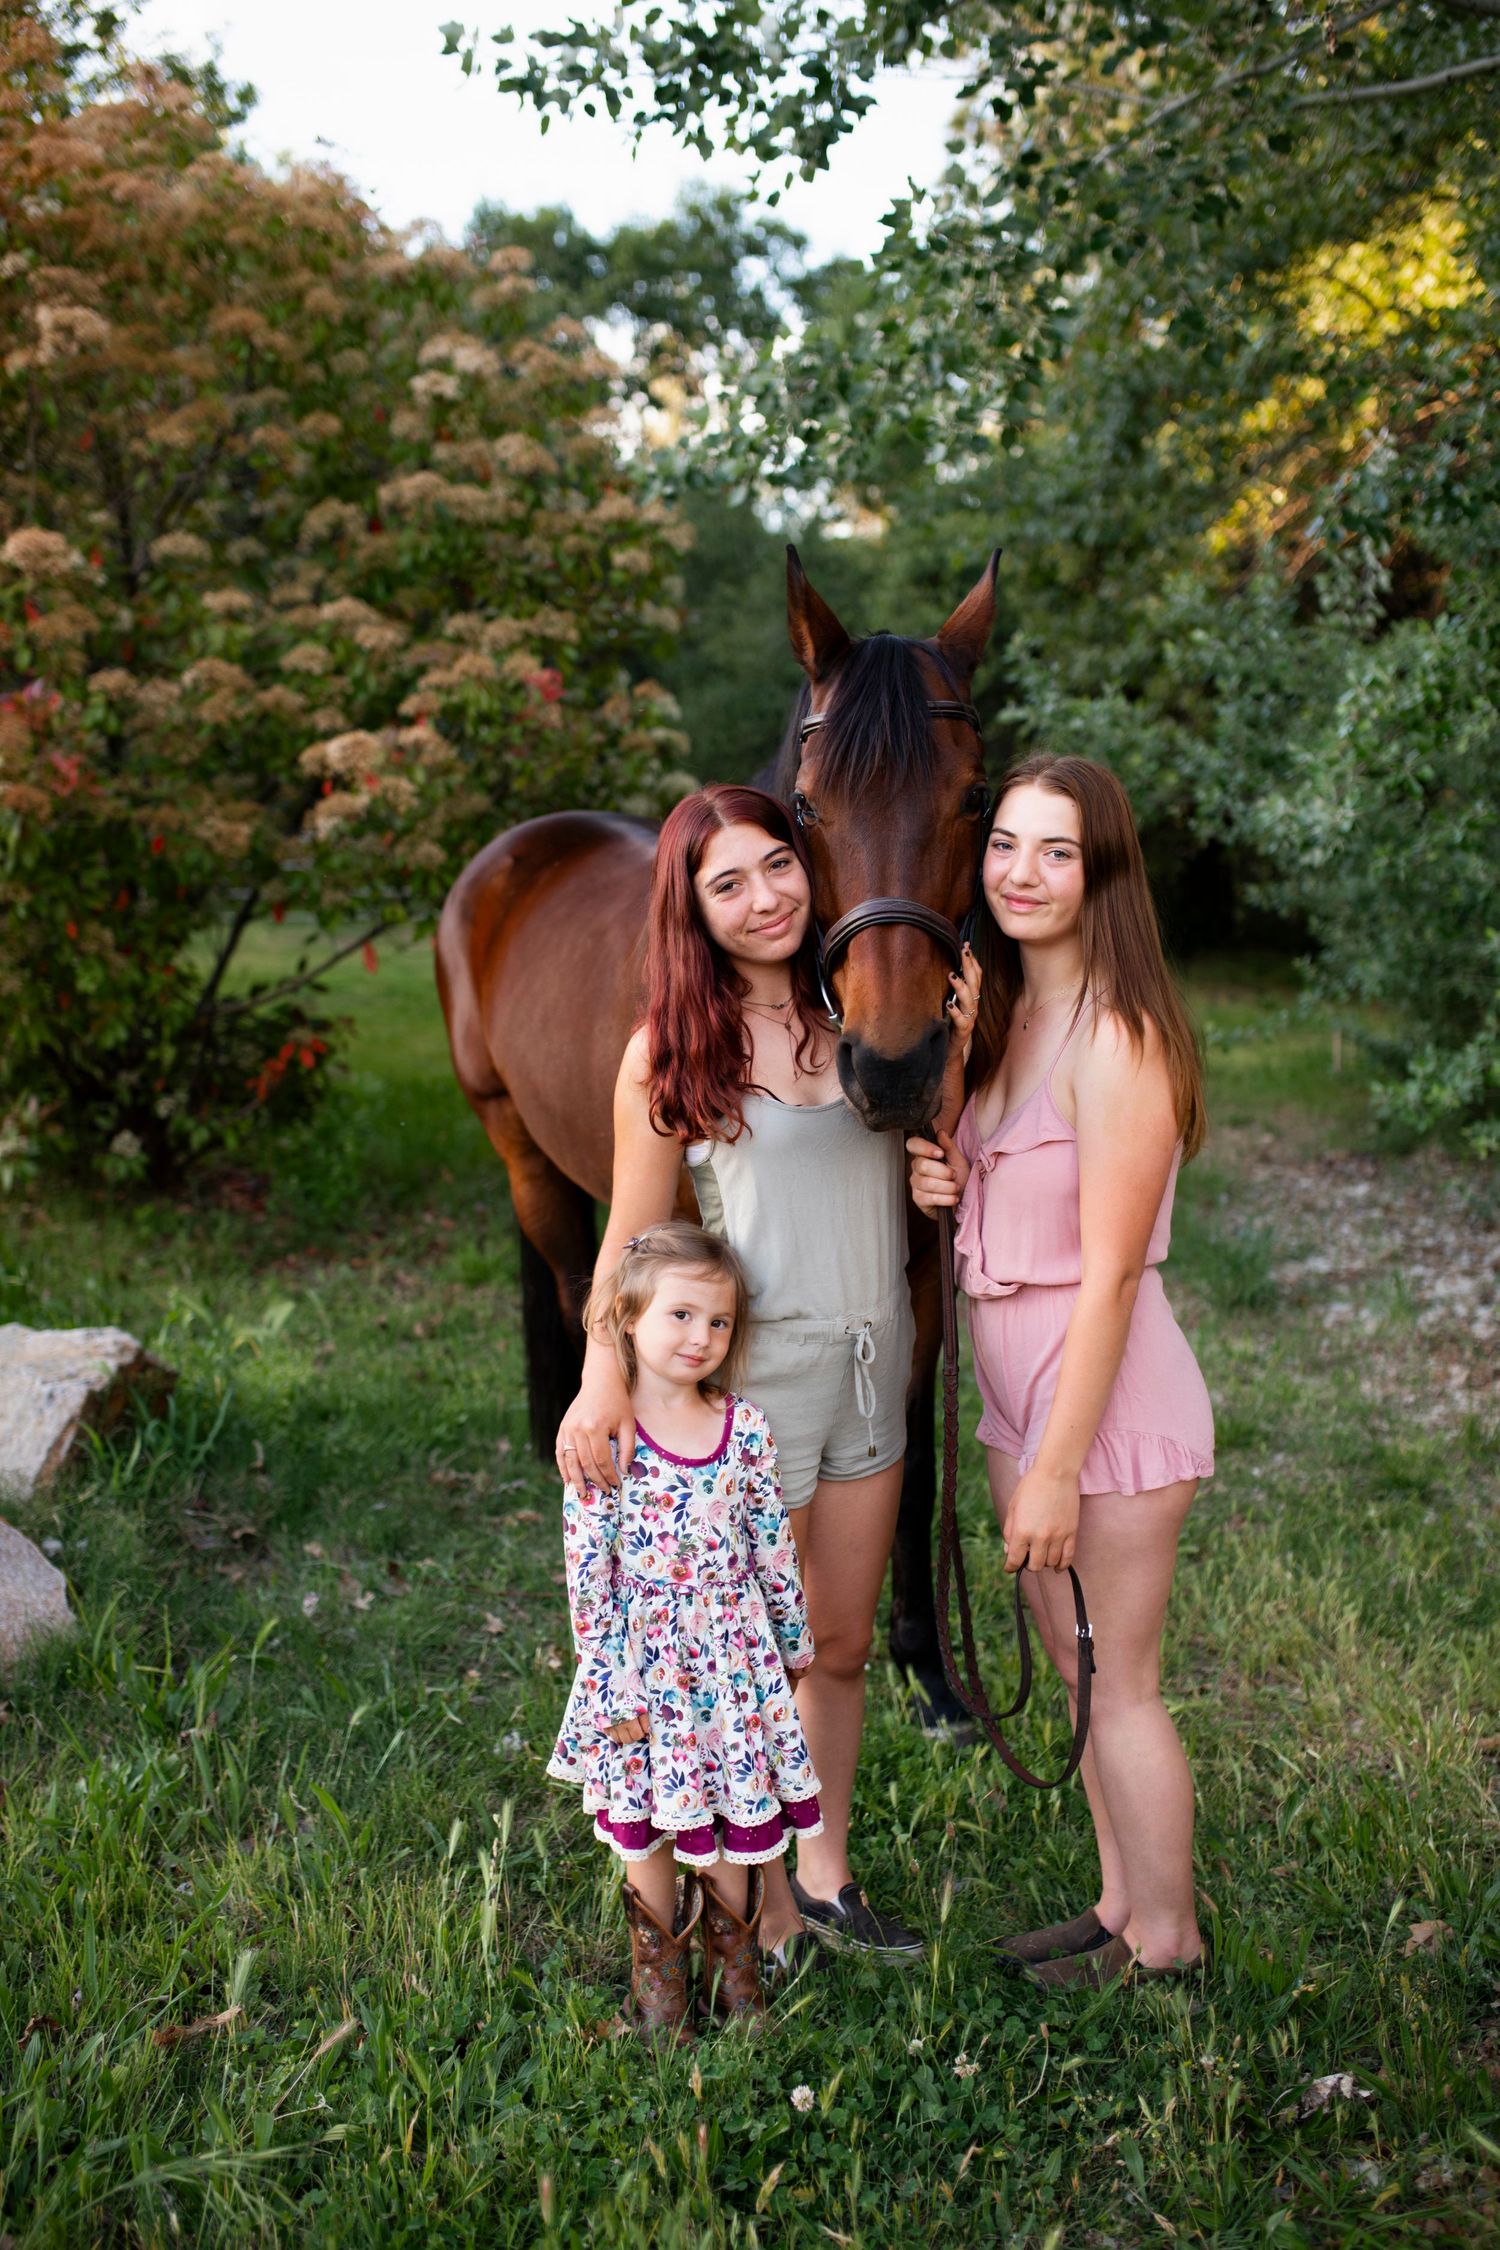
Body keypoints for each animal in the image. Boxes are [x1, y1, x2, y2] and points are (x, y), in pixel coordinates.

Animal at [435, 546, 999, 1722]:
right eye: (804, 807)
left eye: (974, 797)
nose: (895, 1069)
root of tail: (514, 851)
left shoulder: (916, 1274)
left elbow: (912, 1454)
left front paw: (927, 1665)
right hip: (518, 1144)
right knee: (576, 1284)